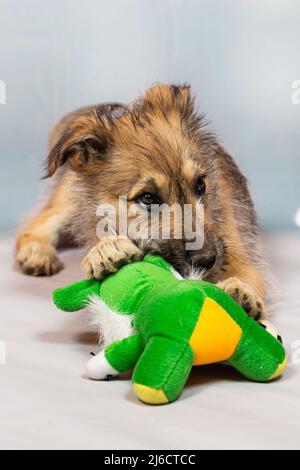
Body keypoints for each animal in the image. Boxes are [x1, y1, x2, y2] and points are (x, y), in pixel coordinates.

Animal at [15, 84, 266, 320]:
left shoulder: (235, 243)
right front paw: (106, 248)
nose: (208, 259)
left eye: (200, 185)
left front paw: (239, 291)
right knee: (35, 225)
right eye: (147, 198)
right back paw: (37, 252)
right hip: (68, 199)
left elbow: (245, 270)